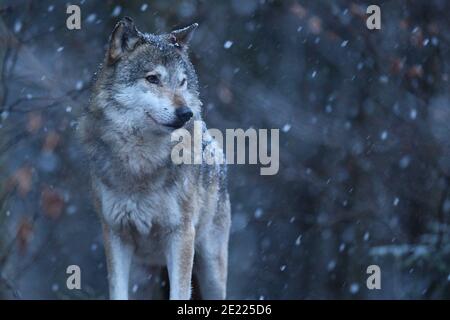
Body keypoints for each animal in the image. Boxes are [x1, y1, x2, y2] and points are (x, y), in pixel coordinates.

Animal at [77, 16, 230, 300]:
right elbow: (117, 291)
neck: (141, 161)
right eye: (153, 79)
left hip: (211, 269)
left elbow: (180, 294)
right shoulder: (115, 234)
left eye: (182, 82)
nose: (186, 113)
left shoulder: (181, 234)